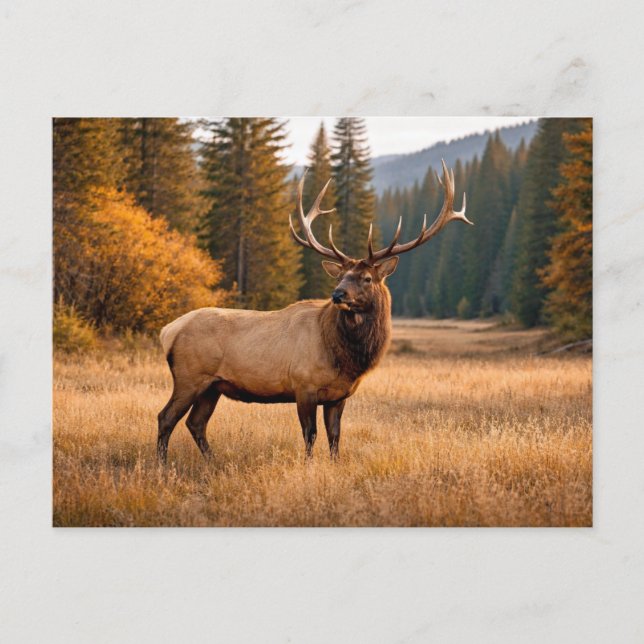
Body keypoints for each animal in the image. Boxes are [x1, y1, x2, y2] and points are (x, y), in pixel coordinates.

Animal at [157, 160, 471, 464]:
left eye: (367, 278)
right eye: (340, 276)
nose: (337, 295)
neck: (345, 357)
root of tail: (168, 330)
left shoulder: (338, 396)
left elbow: (335, 435)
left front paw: (334, 465)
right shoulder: (303, 385)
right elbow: (310, 434)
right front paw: (308, 465)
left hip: (213, 386)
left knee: (196, 423)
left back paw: (212, 462)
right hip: (190, 376)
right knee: (166, 418)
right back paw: (163, 466)